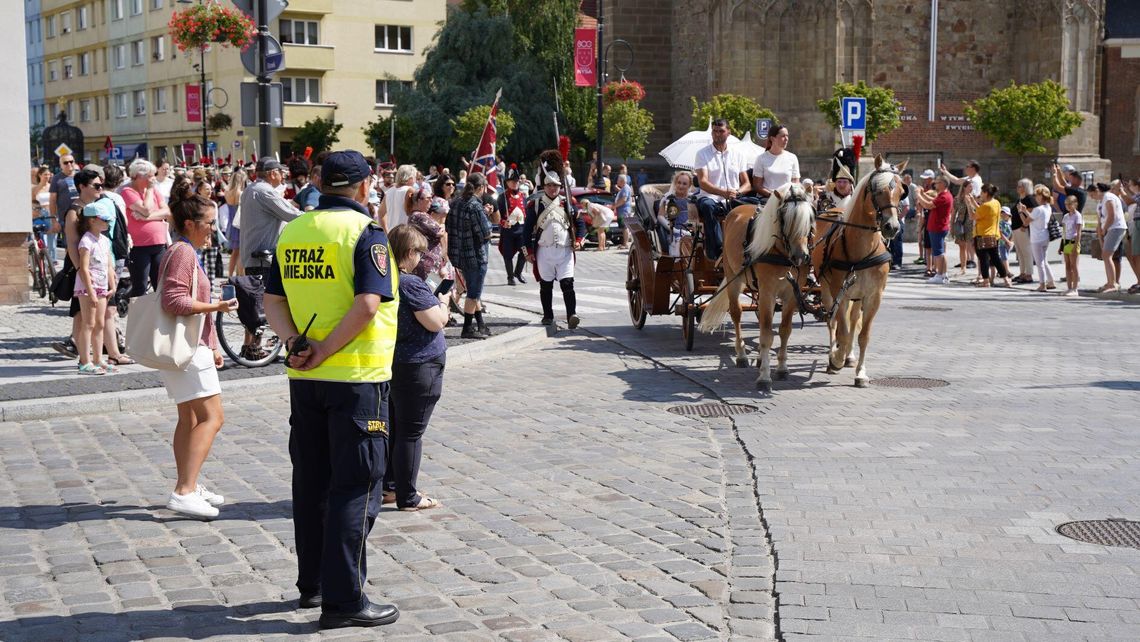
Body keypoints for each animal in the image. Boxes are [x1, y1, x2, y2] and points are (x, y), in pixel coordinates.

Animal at [697, 183, 816, 389]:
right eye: (784, 218)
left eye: (810, 217)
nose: (801, 256)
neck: (782, 253)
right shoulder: (768, 290)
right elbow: (767, 334)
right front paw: (764, 377)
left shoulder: (791, 294)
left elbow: (784, 330)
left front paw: (781, 368)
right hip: (733, 277)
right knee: (736, 313)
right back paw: (742, 355)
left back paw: (760, 357)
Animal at [811, 156, 907, 387]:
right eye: (877, 190)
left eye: (901, 191)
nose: (892, 227)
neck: (862, 250)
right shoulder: (841, 293)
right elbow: (843, 331)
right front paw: (835, 359)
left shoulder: (873, 297)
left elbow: (863, 334)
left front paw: (861, 373)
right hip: (828, 290)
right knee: (833, 322)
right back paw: (835, 354)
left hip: (858, 297)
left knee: (854, 321)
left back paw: (850, 357)